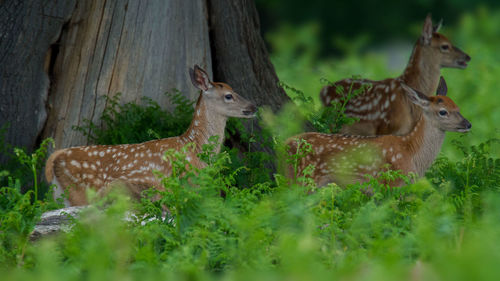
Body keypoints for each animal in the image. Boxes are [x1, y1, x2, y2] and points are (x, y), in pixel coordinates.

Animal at [44, 65, 258, 206]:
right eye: (228, 96)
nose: (253, 106)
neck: (194, 148)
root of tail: (55, 157)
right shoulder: (181, 185)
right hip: (82, 191)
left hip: (62, 194)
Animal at [288, 79, 470, 187]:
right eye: (443, 112)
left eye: (458, 107)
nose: (467, 124)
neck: (411, 152)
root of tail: (285, 143)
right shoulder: (393, 184)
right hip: (303, 180)